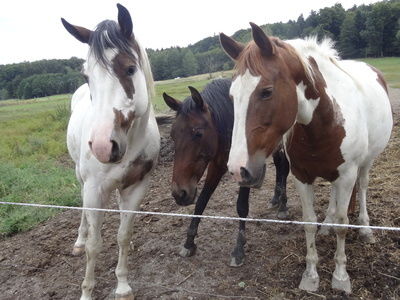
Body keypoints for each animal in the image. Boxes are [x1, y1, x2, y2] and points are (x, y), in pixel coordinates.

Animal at [61, 3, 159, 298]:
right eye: (87, 75)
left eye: (130, 68)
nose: (104, 146)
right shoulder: (94, 189)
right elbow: (95, 245)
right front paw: (86, 291)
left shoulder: (137, 186)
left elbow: (123, 235)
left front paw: (123, 286)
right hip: (81, 178)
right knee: (83, 208)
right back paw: (79, 240)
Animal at [161, 78, 290, 266]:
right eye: (172, 135)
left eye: (198, 133)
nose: (180, 193)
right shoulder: (216, 166)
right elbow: (201, 201)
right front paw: (189, 242)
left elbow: (241, 207)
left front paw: (239, 249)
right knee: (280, 168)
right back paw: (275, 199)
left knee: (285, 169)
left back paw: (283, 206)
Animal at [219, 22, 390, 292]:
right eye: (232, 96)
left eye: (266, 92)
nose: (238, 169)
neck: (328, 120)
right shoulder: (301, 176)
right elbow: (309, 222)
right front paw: (310, 275)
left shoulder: (347, 175)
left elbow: (343, 223)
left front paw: (340, 276)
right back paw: (326, 226)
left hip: (365, 164)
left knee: (362, 188)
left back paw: (365, 228)